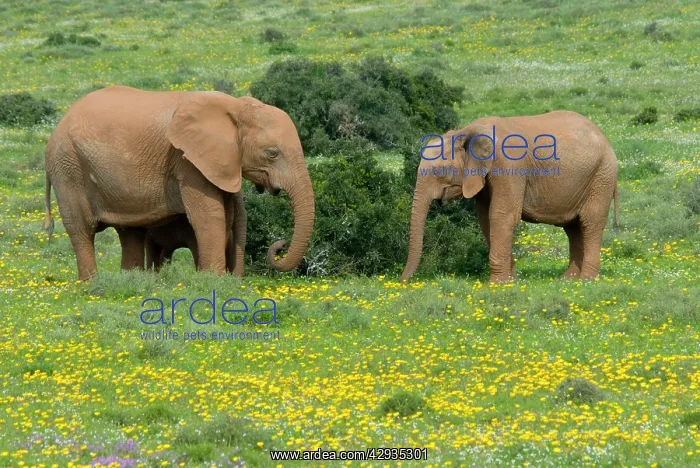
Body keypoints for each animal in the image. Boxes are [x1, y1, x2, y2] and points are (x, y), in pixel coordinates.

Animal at [44, 86, 314, 280]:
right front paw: (213, 283)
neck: (235, 106)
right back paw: (92, 286)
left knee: (130, 233)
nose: (280, 244)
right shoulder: (187, 161)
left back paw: (133, 281)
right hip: (67, 166)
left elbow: (226, 216)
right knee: (82, 229)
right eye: (272, 153)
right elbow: (210, 217)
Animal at [402, 111, 619, 283]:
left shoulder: (509, 166)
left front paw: (497, 285)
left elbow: (501, 216)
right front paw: (510, 281)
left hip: (602, 175)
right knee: (573, 227)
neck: (464, 132)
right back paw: (568, 280)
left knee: (590, 222)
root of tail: (605, 139)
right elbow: (486, 220)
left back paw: (586, 281)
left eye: (440, 170)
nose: (403, 281)